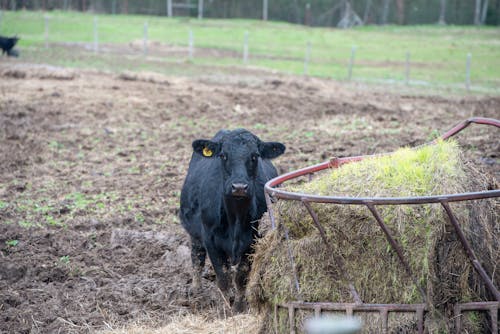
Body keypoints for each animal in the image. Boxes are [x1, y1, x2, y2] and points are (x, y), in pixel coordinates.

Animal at [181, 129, 286, 312]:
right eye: (223, 155)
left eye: (254, 156)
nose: (239, 187)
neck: (235, 218)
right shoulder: (210, 240)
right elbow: (223, 277)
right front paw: (224, 308)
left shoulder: (253, 241)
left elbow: (240, 277)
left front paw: (238, 307)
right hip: (195, 235)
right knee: (197, 258)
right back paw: (196, 293)